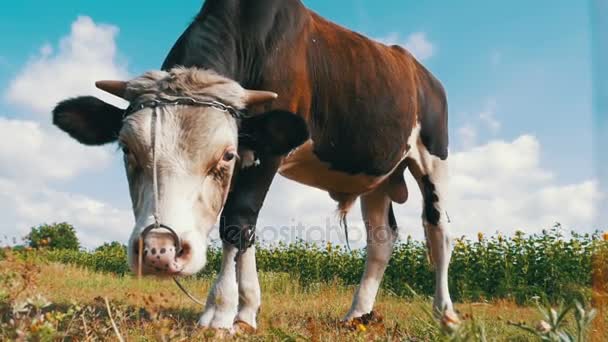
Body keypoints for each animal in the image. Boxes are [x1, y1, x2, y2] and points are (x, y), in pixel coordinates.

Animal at [52, 0, 456, 332]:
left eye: (226, 155)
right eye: (127, 149)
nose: (158, 251)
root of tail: (422, 72)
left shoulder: (267, 153)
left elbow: (237, 222)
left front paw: (218, 312)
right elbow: (246, 232)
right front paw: (245, 312)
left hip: (434, 158)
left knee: (438, 232)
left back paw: (445, 315)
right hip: (378, 177)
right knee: (381, 239)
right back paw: (358, 314)